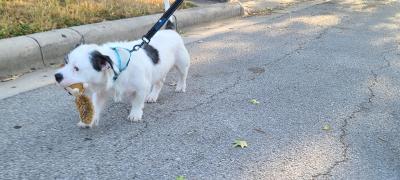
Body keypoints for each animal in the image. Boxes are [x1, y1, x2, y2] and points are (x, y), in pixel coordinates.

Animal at [54, 21, 191, 128]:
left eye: (76, 68)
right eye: (66, 62)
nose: (57, 76)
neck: (117, 67)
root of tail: (170, 30)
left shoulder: (142, 87)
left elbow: (137, 101)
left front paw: (135, 114)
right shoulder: (101, 92)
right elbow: (96, 105)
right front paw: (90, 119)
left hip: (182, 63)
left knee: (183, 75)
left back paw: (180, 86)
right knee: (159, 82)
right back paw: (153, 96)